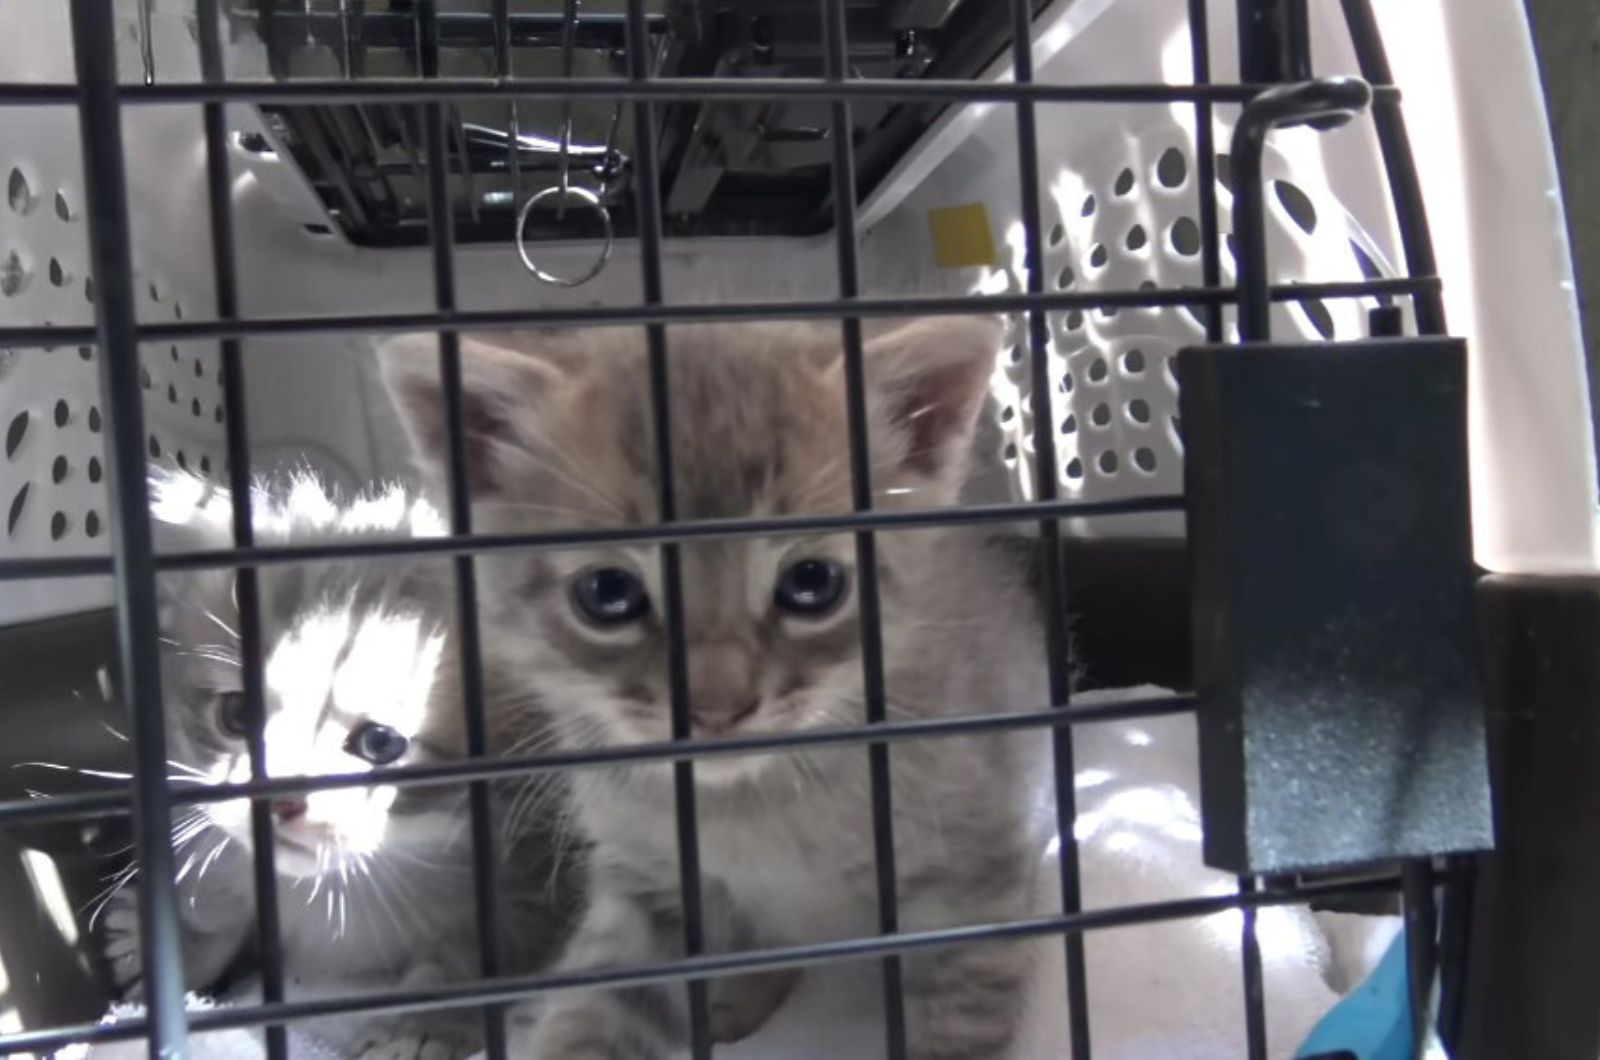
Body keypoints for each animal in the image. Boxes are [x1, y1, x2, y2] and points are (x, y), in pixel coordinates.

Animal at [103, 473, 576, 1060]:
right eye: (238, 714)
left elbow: (468, 966)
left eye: (380, 743)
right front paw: (176, 950)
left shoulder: (528, 893)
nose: (278, 797)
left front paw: (418, 1028)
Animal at [379, 321, 1043, 1060]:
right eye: (607, 593)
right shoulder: (650, 889)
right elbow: (593, 1010)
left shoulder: (972, 884)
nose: (719, 705)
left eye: (813, 582)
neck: (754, 810)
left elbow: (959, 1025)